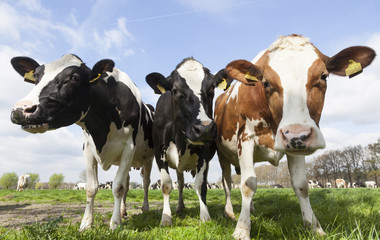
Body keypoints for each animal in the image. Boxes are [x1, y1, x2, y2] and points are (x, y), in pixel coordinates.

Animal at [10, 54, 156, 231]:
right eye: (36, 78)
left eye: (75, 77)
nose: (20, 109)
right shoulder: (88, 148)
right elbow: (91, 188)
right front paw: (86, 224)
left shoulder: (129, 147)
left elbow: (118, 187)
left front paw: (114, 224)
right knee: (128, 184)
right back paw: (123, 212)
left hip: (148, 158)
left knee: (146, 182)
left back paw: (145, 208)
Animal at [144, 57, 224, 226]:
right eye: (175, 91)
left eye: (212, 90)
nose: (204, 128)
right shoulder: (159, 152)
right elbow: (166, 185)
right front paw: (166, 219)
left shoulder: (204, 153)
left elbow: (200, 185)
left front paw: (205, 216)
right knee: (179, 183)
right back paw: (178, 208)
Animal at [215, 34, 376, 239]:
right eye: (266, 82)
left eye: (323, 76)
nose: (296, 134)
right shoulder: (246, 138)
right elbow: (247, 184)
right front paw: (242, 229)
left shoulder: (297, 146)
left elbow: (301, 185)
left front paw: (314, 227)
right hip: (223, 154)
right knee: (227, 182)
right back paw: (229, 212)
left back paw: (250, 208)